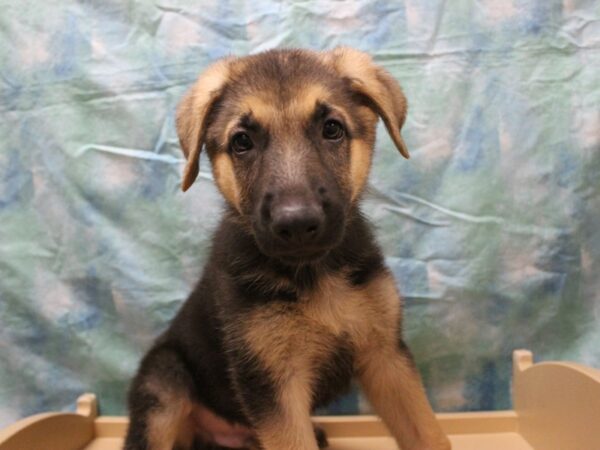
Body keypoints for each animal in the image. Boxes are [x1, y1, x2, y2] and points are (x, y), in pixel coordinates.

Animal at [123, 46, 450, 450]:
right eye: (242, 142)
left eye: (332, 129)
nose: (296, 224)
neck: (313, 275)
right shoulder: (274, 385)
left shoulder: (387, 358)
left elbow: (429, 435)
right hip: (163, 383)